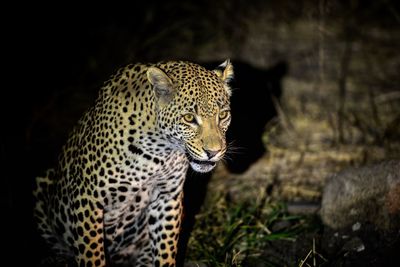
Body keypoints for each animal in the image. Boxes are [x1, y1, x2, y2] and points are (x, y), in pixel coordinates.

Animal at [33, 60, 234, 267]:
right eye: (188, 118)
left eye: (223, 115)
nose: (213, 152)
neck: (160, 152)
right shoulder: (86, 197)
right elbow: (92, 254)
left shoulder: (167, 197)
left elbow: (165, 248)